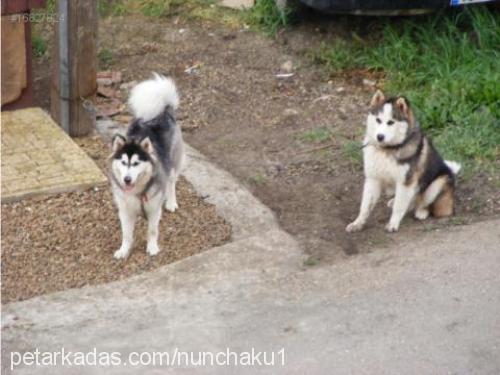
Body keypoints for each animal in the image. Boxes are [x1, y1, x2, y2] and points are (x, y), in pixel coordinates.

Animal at [108, 74, 185, 260]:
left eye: (136, 163)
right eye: (123, 162)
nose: (127, 179)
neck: (138, 192)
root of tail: (164, 110)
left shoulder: (152, 208)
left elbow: (152, 230)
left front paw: (152, 248)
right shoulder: (125, 210)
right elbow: (126, 234)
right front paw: (124, 250)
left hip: (173, 162)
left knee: (171, 182)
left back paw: (171, 202)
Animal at [348, 90, 460, 232]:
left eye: (391, 122)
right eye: (378, 120)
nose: (380, 137)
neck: (388, 149)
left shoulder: (405, 182)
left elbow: (399, 207)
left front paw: (393, 224)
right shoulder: (373, 179)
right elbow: (365, 206)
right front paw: (357, 223)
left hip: (439, 182)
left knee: (422, 203)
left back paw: (421, 212)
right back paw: (394, 201)